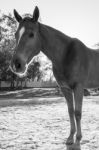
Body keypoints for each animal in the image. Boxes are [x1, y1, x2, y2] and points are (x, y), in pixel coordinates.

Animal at [10, 6, 99, 146]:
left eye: (31, 34)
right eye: (15, 35)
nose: (16, 65)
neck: (66, 54)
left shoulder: (78, 87)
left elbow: (77, 113)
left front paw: (78, 138)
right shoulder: (65, 89)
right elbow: (70, 111)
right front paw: (70, 137)